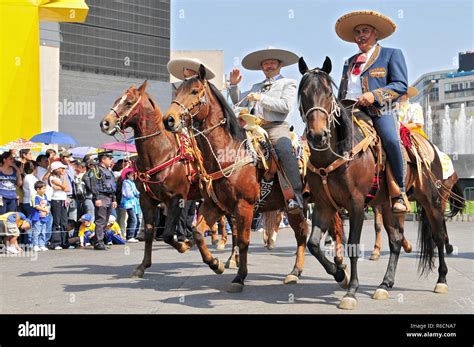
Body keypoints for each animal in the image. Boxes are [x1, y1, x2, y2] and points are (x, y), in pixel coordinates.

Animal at [99, 80, 229, 278]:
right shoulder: (147, 200)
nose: (105, 123)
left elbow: (168, 234)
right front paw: (143, 266)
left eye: (129, 102)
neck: (160, 153)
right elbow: (150, 232)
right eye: (116, 100)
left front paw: (185, 245)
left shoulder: (176, 199)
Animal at [163, 65, 312, 294]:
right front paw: (215, 264)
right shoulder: (213, 205)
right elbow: (198, 233)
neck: (229, 153)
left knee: (307, 232)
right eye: (177, 91)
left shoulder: (245, 207)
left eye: (195, 91)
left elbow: (243, 241)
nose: (169, 120)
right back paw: (298, 271)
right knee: (303, 232)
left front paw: (239, 277)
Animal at [298, 57, 450, 310]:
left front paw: (351, 291)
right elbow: (314, 244)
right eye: (303, 94)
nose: (318, 136)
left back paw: (442, 280)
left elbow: (353, 245)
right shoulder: (323, 205)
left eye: (328, 94)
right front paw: (339, 274)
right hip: (389, 205)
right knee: (396, 241)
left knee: (439, 236)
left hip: (432, 200)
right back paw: (385, 284)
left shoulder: (356, 204)